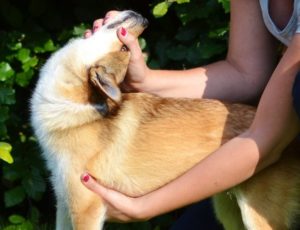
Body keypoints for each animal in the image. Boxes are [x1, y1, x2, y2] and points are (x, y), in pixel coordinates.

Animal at [30, 9, 300, 229]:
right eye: (125, 48)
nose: (145, 19)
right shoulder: (65, 205)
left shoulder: (86, 207)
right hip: (228, 211)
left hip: (257, 215)